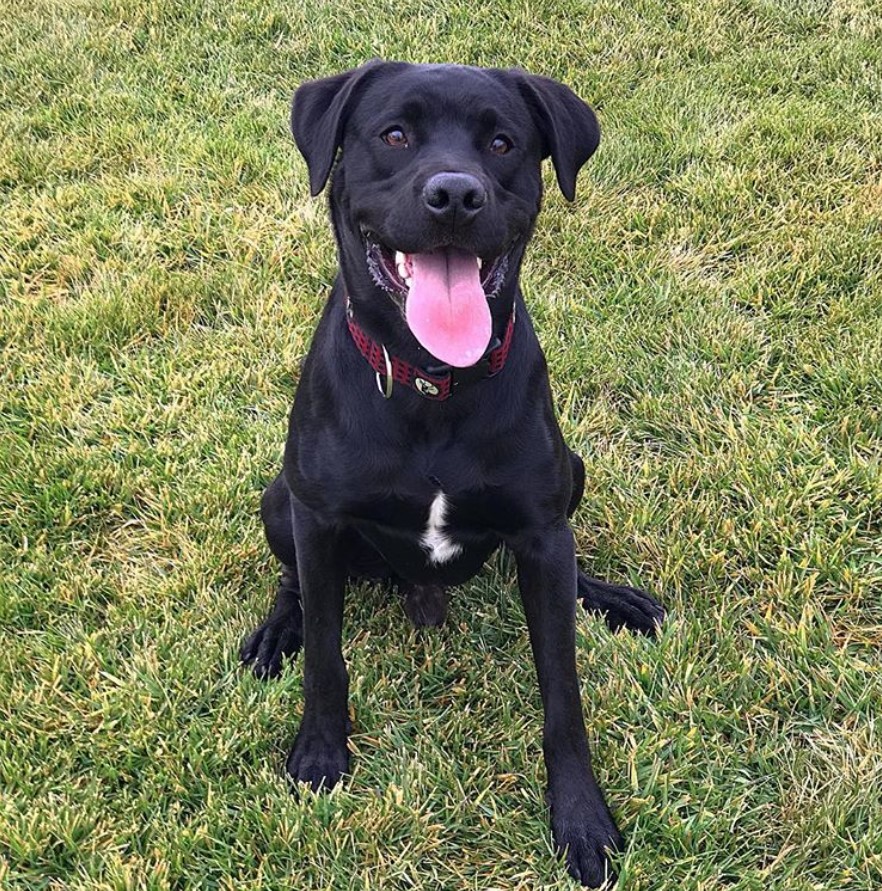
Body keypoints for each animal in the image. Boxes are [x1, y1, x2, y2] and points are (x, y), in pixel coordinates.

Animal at [241, 61, 660, 884]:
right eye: (395, 134)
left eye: (501, 144)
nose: (456, 195)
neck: (432, 383)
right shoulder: (318, 516)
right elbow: (328, 657)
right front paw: (319, 753)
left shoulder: (541, 530)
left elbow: (562, 691)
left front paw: (582, 818)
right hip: (281, 499)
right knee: (295, 579)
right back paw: (278, 630)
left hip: (573, 472)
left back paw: (610, 597)